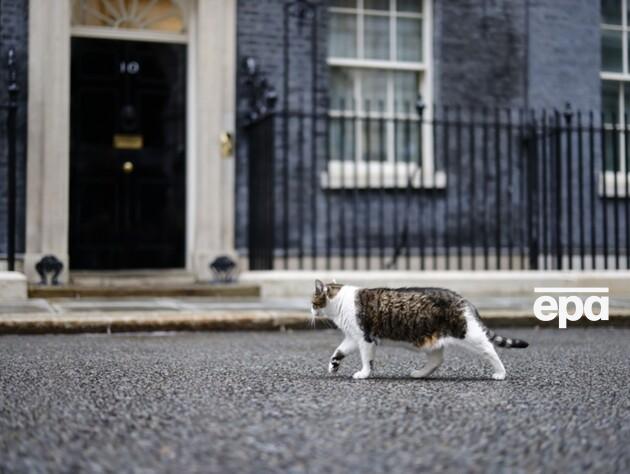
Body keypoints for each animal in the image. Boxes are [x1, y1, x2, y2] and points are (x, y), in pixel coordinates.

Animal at [312, 280, 528, 380]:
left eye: (313, 303)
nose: (311, 312)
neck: (340, 302)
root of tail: (463, 299)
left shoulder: (365, 338)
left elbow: (367, 360)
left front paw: (363, 373)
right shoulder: (352, 337)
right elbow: (339, 351)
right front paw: (333, 365)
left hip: (468, 333)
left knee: (490, 349)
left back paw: (500, 373)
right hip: (430, 339)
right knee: (437, 359)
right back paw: (420, 373)